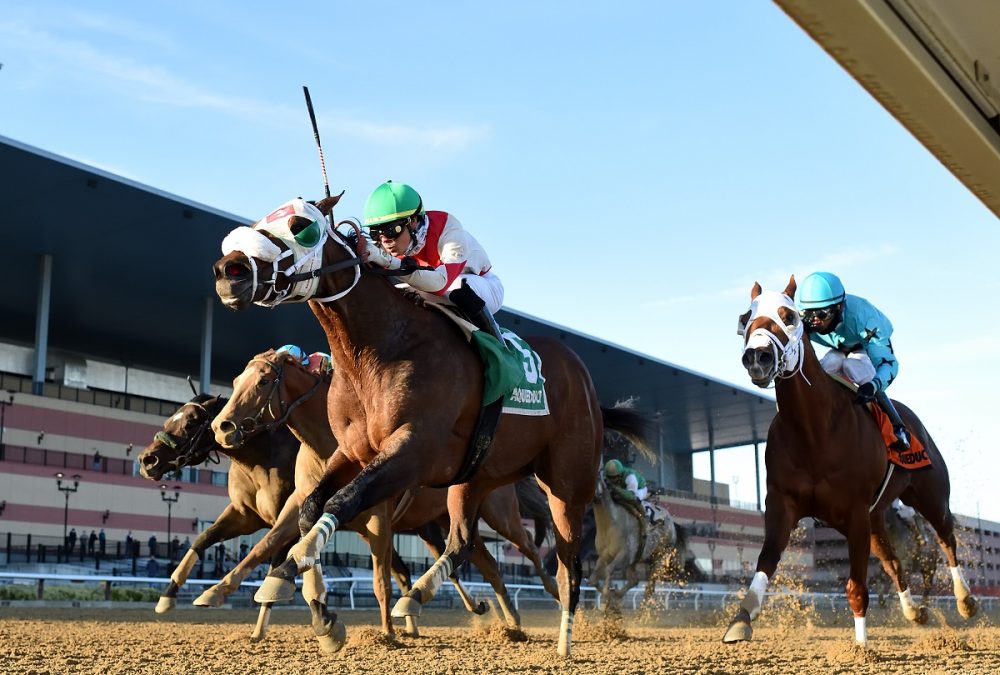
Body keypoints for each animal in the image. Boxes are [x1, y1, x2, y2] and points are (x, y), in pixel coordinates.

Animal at [137, 390, 300, 640]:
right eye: (169, 420)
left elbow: (273, 567)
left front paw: (258, 629)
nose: (146, 460)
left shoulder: (287, 523)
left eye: (190, 423)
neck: (266, 459)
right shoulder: (245, 516)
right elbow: (204, 538)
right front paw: (167, 596)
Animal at [213, 352, 564, 636]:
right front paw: (222, 591)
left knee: (529, 546)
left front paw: (387, 633)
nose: (221, 426)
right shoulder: (301, 506)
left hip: (499, 513)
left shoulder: (378, 519)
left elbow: (381, 581)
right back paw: (511, 621)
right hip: (450, 518)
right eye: (236, 380)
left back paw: (555, 592)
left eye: (262, 381)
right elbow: (270, 545)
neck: (328, 445)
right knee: (487, 564)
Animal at [728, 278, 976, 648]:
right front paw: (741, 618)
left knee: (947, 539)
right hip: (876, 520)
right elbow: (767, 558)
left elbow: (857, 586)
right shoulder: (783, 503)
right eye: (746, 319)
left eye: (788, 316)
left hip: (930, 496)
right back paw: (913, 611)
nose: (757, 357)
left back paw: (965, 600)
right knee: (894, 562)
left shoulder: (855, 511)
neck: (814, 431)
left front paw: (861, 647)